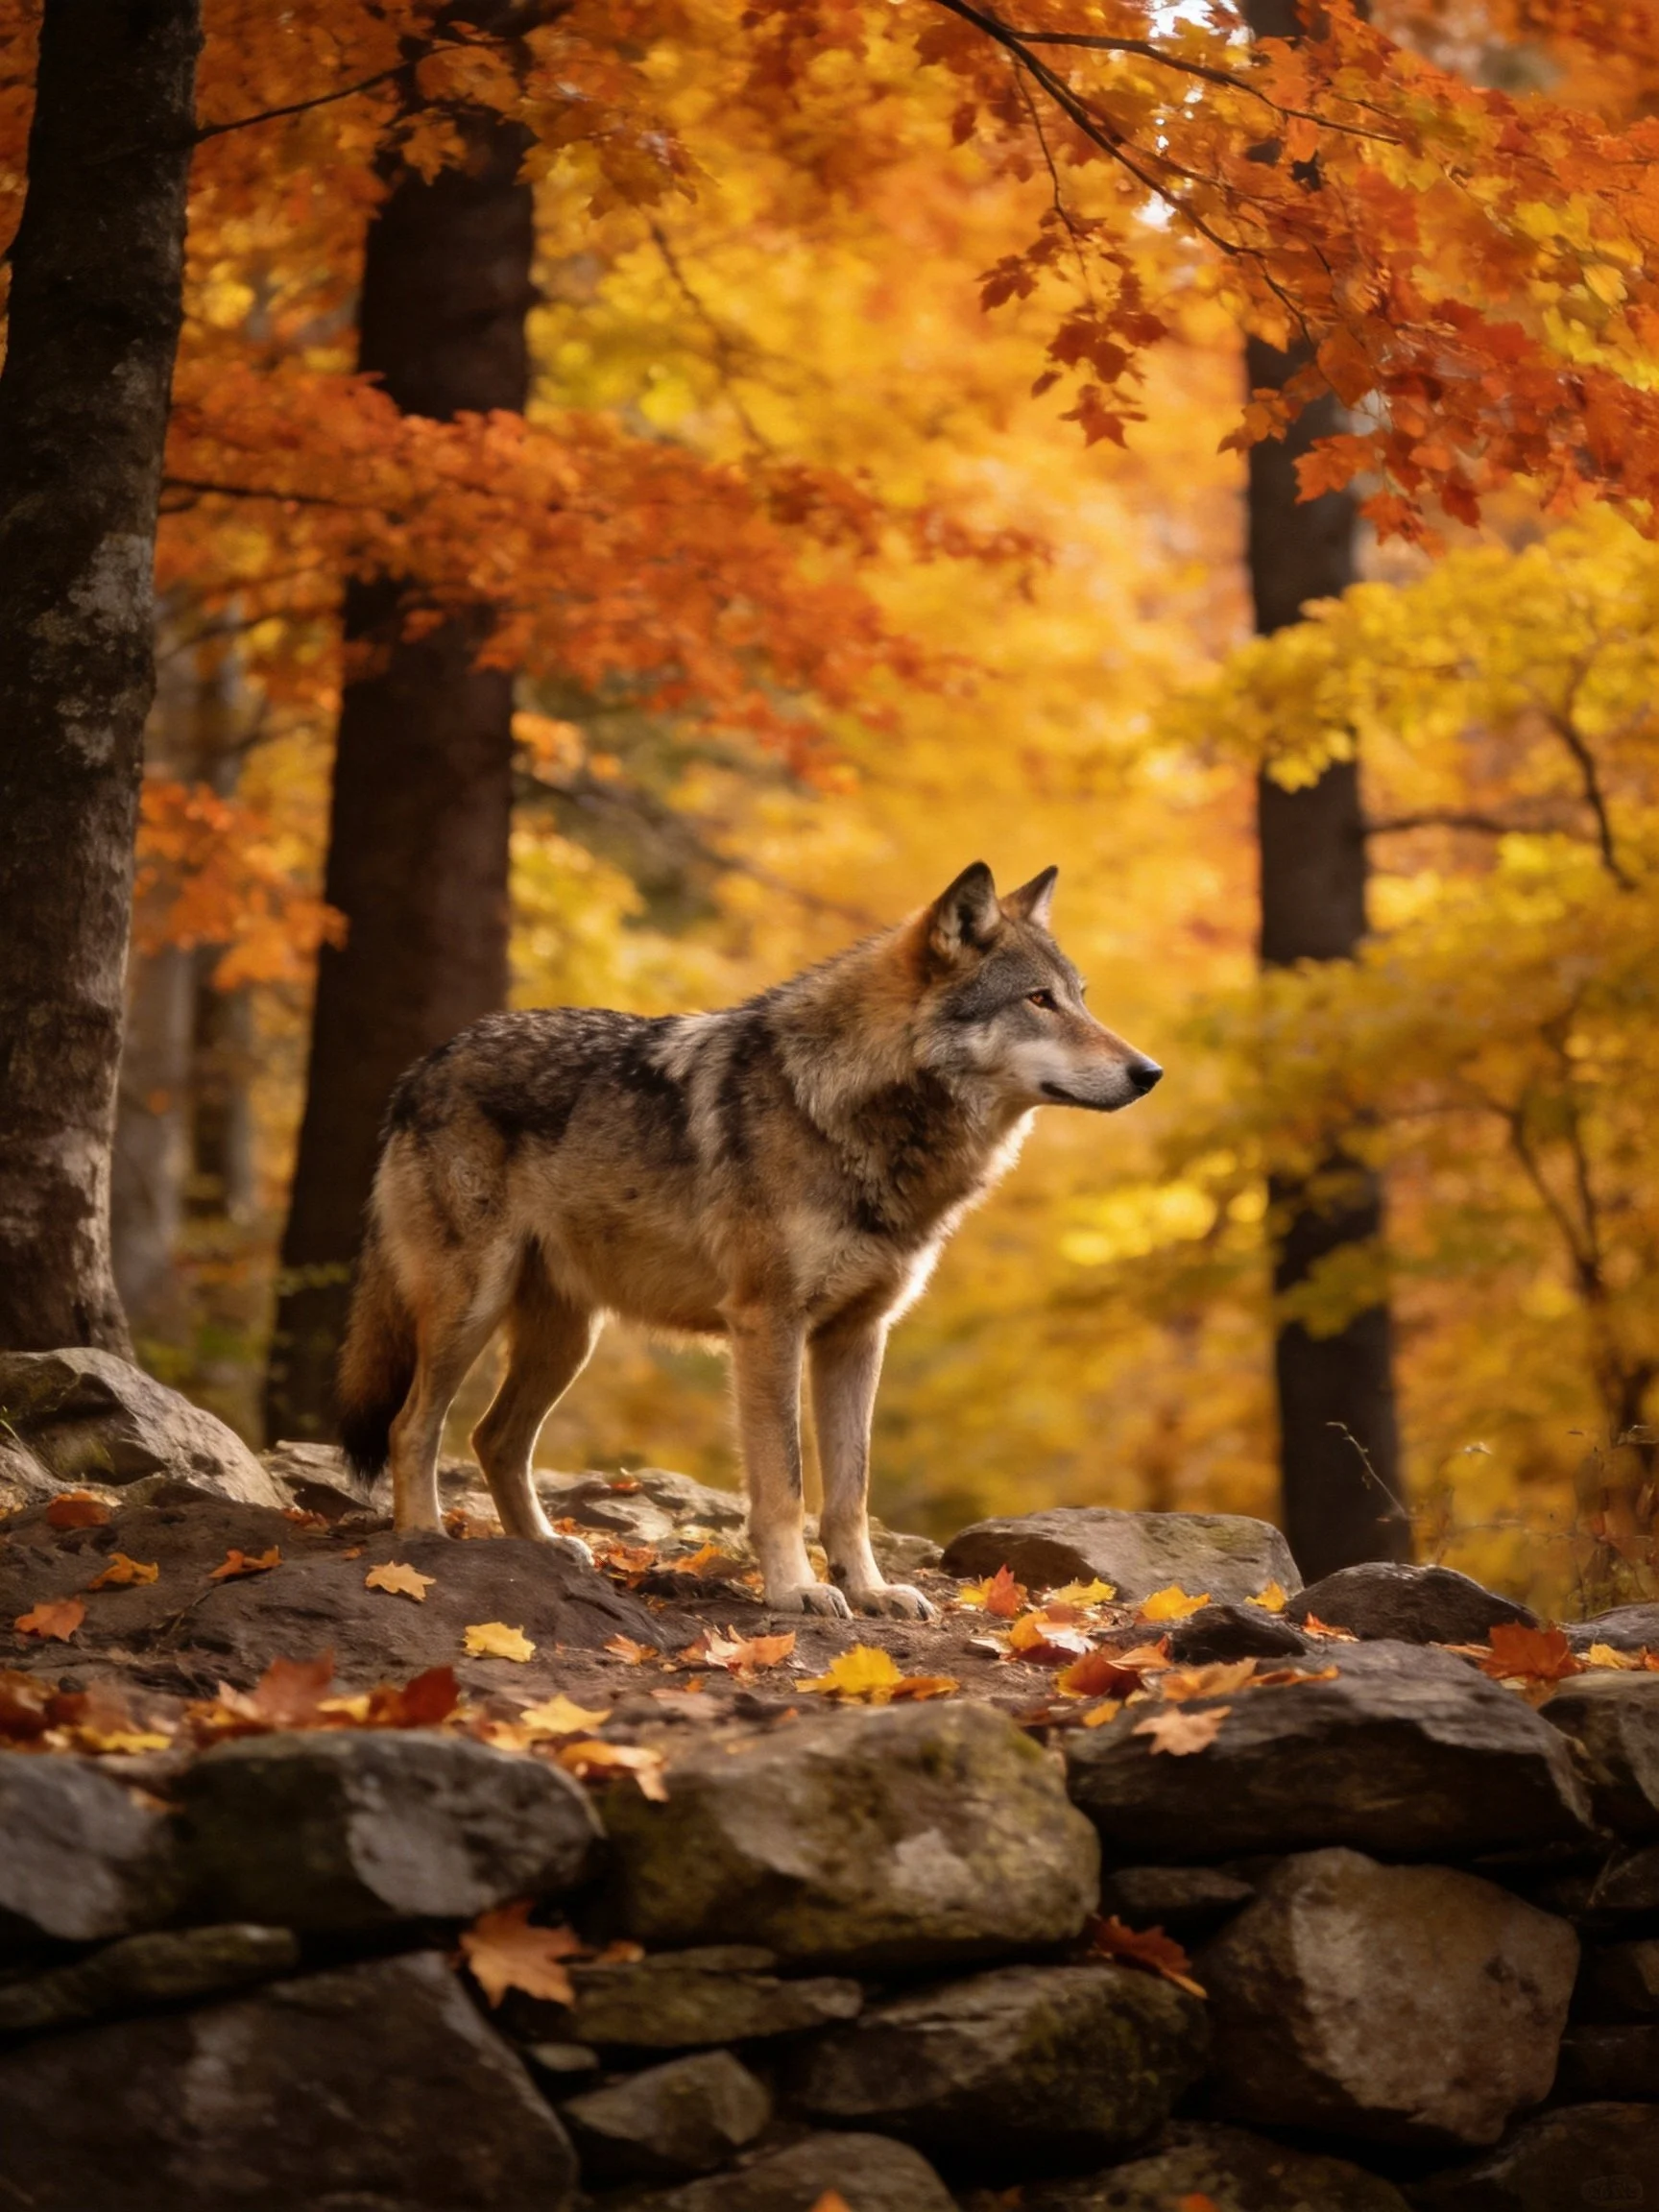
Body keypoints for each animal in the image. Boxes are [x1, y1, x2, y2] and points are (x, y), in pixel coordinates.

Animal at [336, 862, 1162, 1617]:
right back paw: (423, 1542)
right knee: (414, 1425)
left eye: (1080, 997)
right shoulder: (768, 1323)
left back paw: (542, 1550)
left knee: (494, 1439)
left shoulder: (858, 1335)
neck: (848, 1110)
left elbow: (851, 1490)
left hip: (569, 1340)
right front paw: (796, 1590)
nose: (1149, 1071)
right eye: (1037, 1000)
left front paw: (871, 1591)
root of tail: (422, 1067)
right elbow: (784, 1481)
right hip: (472, 1308)